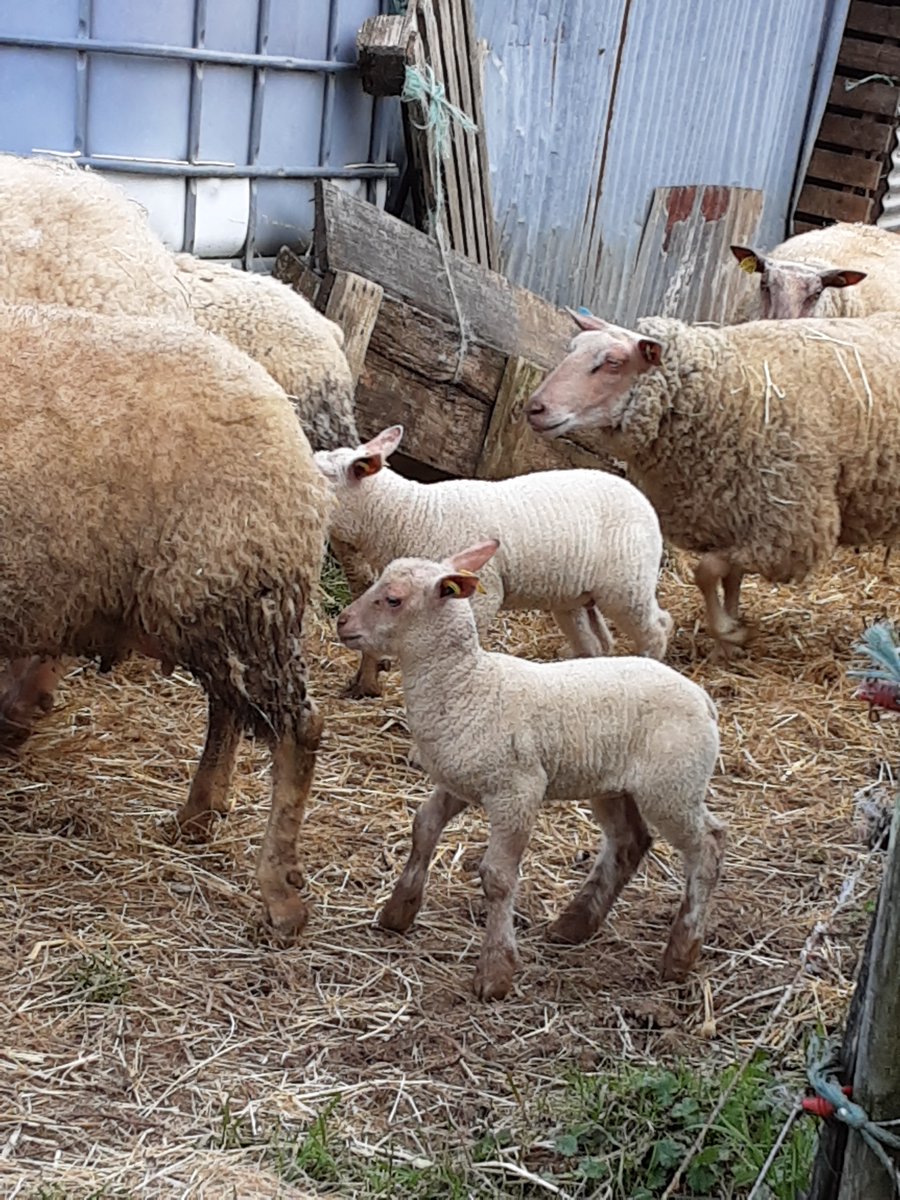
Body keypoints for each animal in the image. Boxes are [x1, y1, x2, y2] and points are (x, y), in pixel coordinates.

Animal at [0, 299, 329, 940]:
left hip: (235, 590)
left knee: (297, 731)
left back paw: (278, 893)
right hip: (215, 602)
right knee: (228, 709)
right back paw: (198, 815)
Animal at [314, 425, 672, 697]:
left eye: (322, 475)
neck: (408, 516)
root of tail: (644, 501)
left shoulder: (479, 593)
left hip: (626, 584)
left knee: (657, 628)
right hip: (575, 597)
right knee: (598, 642)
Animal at [336, 540, 724, 1000]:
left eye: (393, 599)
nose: (342, 622)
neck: (467, 685)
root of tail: (703, 699)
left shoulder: (517, 790)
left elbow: (498, 877)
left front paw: (495, 972)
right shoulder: (459, 782)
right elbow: (423, 827)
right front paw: (398, 912)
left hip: (672, 785)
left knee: (707, 847)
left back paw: (680, 953)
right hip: (613, 784)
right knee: (629, 841)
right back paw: (574, 924)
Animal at [525, 308, 900, 651]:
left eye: (613, 362)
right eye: (571, 349)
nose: (534, 408)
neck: (725, 390)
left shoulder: (788, 529)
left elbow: (704, 572)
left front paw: (730, 630)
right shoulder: (733, 515)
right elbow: (729, 578)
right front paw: (731, 633)